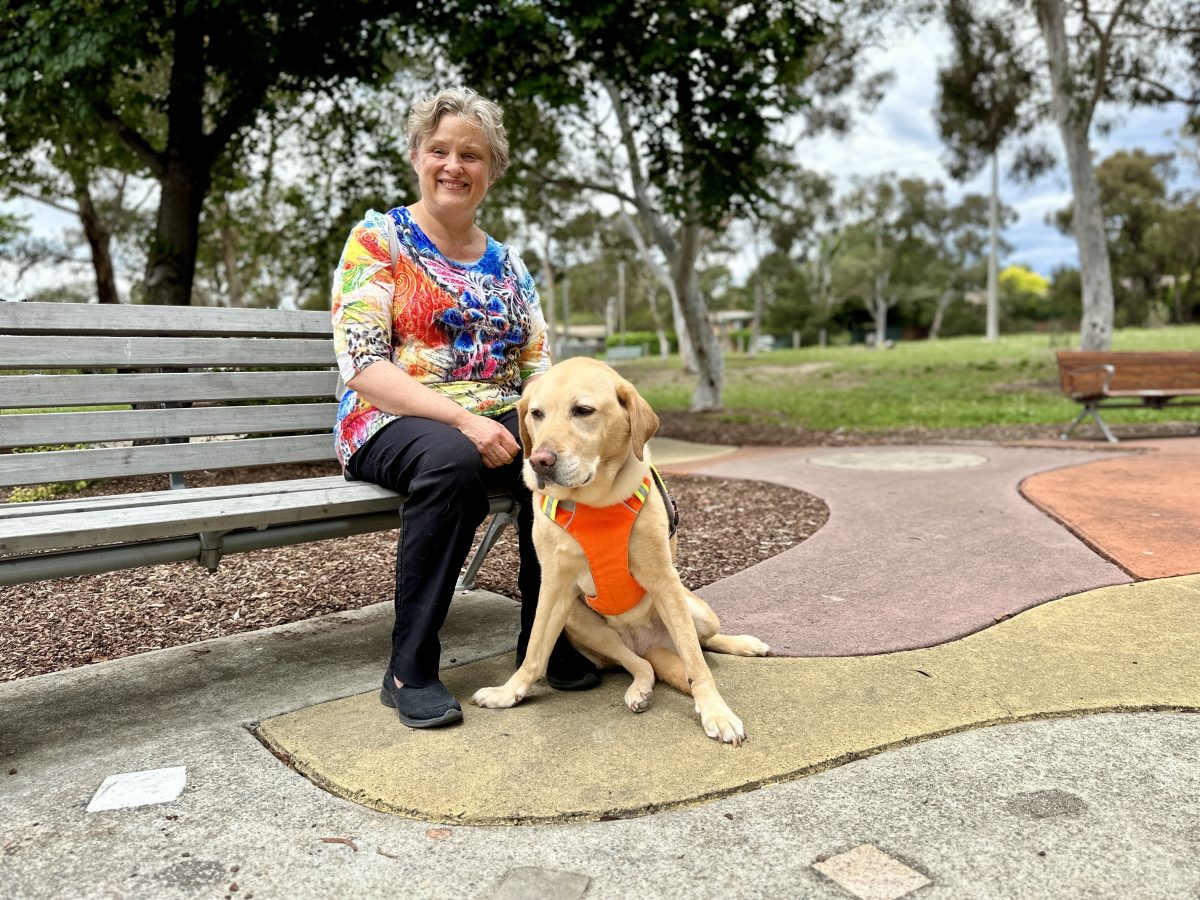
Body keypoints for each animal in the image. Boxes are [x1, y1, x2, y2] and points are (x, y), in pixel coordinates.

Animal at [468, 355, 768, 744]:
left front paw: (716, 712)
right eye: (536, 413)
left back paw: (743, 643)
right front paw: (509, 692)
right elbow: (535, 650)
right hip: (581, 622)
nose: (539, 462)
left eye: (583, 410)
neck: (595, 502)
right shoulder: (554, 585)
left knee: (701, 643)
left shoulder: (664, 580)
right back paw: (640, 688)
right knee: (641, 665)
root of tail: (649, 643)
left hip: (695, 610)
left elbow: (696, 664)